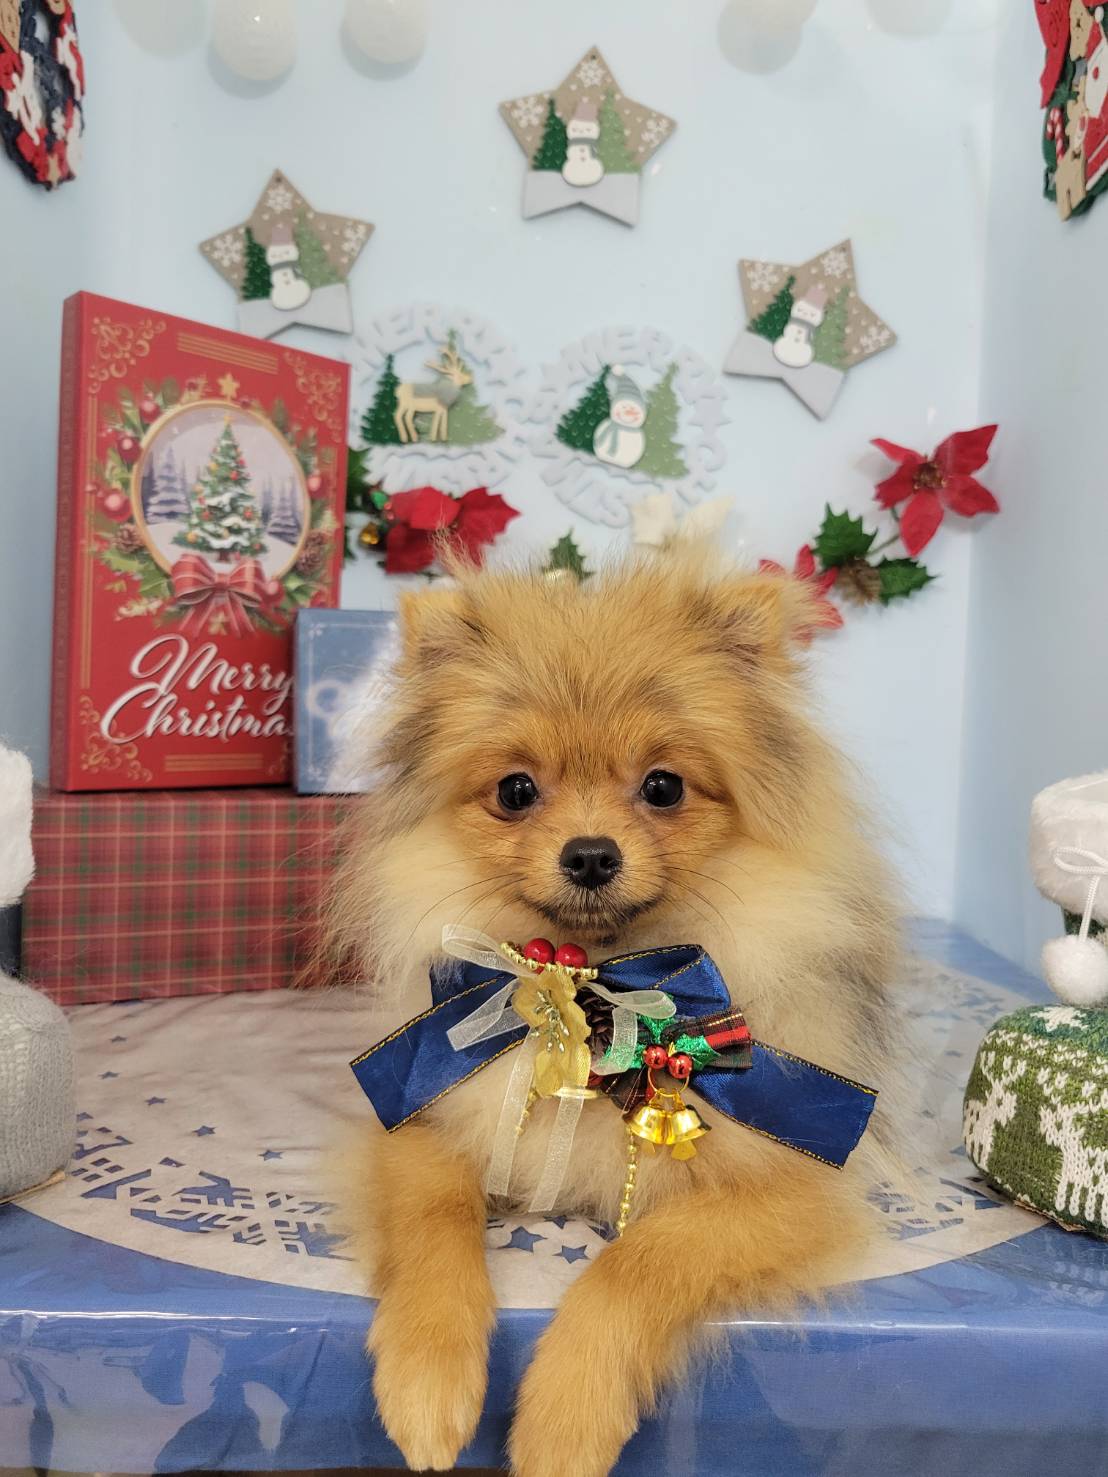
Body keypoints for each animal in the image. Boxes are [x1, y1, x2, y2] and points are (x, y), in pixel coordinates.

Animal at [325, 551, 900, 1476]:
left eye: (663, 786)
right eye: (516, 789)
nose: (590, 853)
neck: (599, 989)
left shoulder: (790, 1186)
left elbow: (641, 1263)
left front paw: (565, 1421)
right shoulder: (424, 1115)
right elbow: (433, 1215)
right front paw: (427, 1377)